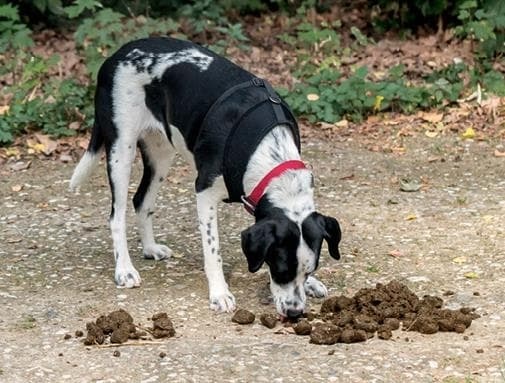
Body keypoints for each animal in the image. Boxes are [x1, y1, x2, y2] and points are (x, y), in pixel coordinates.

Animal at [69, 37, 340, 320]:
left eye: (309, 269)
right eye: (280, 269)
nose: (295, 312)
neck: (269, 152)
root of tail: (116, 55)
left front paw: (311, 285)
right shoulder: (205, 192)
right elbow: (213, 251)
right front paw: (220, 292)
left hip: (161, 152)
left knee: (141, 201)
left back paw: (150, 248)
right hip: (121, 149)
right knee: (117, 215)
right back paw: (124, 269)